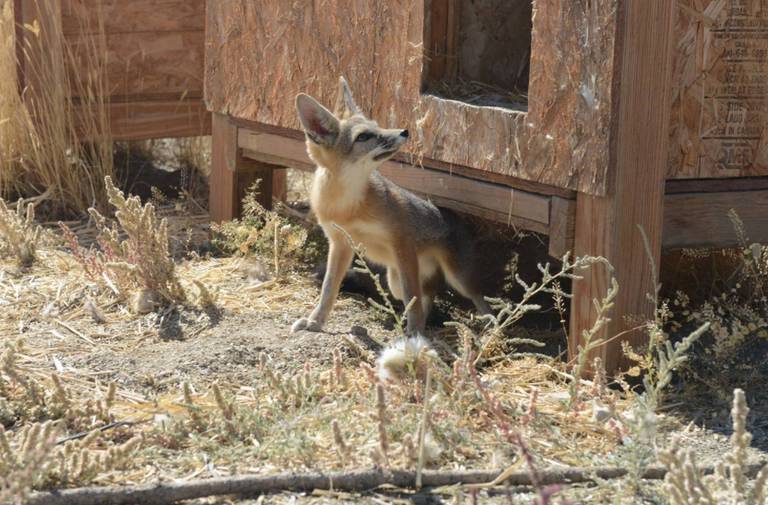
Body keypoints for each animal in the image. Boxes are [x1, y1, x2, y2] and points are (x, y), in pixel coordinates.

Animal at [292, 77, 488, 334]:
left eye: (378, 126)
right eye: (364, 136)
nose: (405, 131)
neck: (348, 209)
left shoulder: (402, 243)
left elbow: (412, 297)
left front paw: (414, 334)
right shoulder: (340, 244)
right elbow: (328, 290)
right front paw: (315, 321)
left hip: (456, 278)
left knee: (476, 297)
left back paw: (493, 326)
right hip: (394, 277)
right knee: (426, 294)